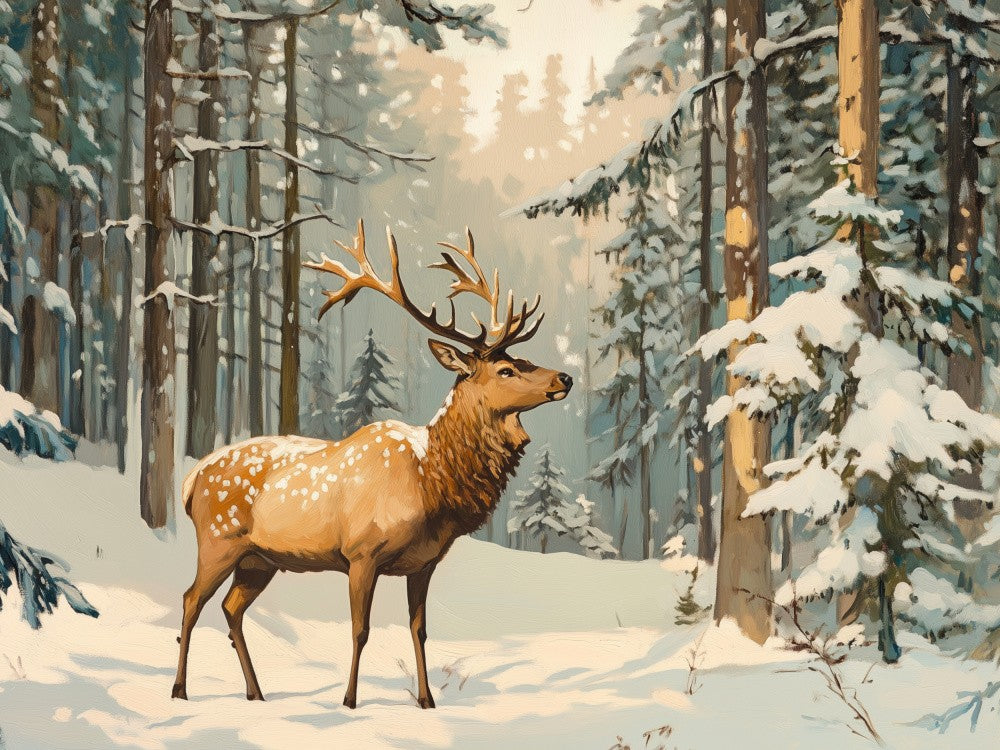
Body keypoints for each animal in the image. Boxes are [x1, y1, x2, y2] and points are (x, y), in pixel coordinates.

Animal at [171, 220, 572, 709]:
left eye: (523, 359)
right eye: (506, 370)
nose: (565, 377)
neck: (431, 483)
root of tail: (191, 480)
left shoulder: (424, 563)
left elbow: (420, 631)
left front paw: (426, 702)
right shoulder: (362, 553)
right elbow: (360, 630)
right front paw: (349, 702)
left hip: (258, 559)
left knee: (231, 609)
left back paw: (256, 693)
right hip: (218, 540)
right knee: (191, 600)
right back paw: (179, 690)